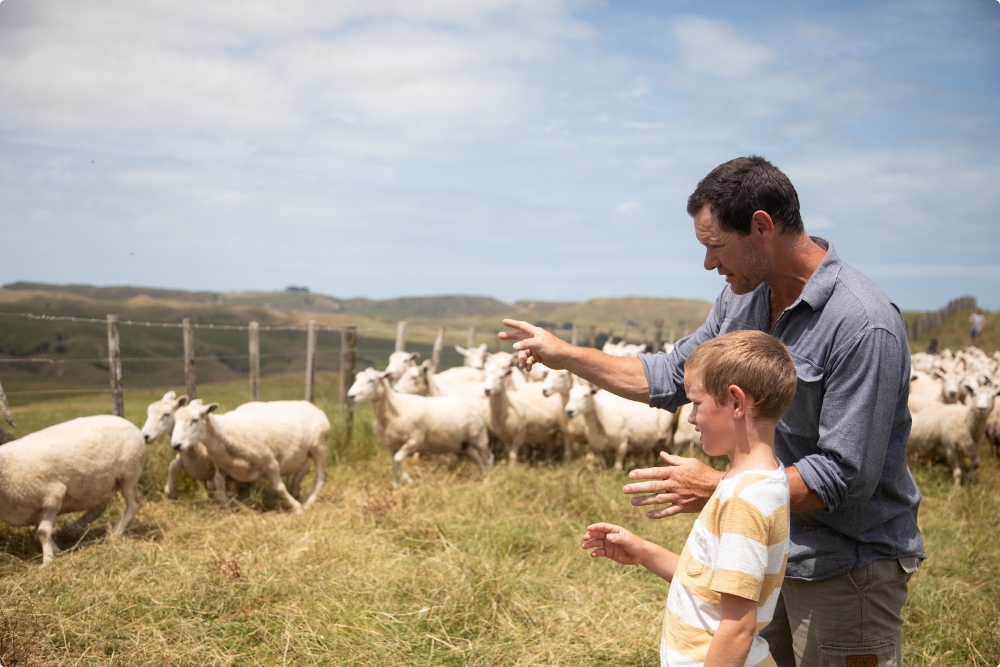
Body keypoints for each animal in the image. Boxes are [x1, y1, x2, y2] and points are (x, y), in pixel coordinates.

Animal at [0, 418, 146, 564]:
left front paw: (47, 561)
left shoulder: (52, 496)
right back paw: (74, 527)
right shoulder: (34, 509)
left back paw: (116, 531)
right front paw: (56, 550)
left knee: (134, 504)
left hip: (129, 473)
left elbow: (43, 532)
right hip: (96, 485)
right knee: (100, 507)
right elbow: (42, 529)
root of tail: (127, 423)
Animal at [170, 400, 330, 516]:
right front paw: (227, 508)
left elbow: (279, 488)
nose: (176, 445)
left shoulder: (270, 462)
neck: (226, 432)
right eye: (175, 420)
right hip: (303, 454)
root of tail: (311, 405)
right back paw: (297, 492)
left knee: (321, 477)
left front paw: (297, 508)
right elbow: (219, 485)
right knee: (302, 472)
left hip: (319, 447)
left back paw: (308, 502)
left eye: (195, 420)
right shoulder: (220, 467)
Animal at [346, 368, 494, 488]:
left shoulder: (414, 440)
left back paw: (487, 481)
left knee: (489, 458)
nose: (350, 396)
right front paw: (395, 486)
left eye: (372, 380)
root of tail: (475, 403)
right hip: (465, 443)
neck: (393, 408)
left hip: (479, 438)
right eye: (357, 378)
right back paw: (482, 475)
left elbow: (398, 460)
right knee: (478, 458)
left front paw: (408, 480)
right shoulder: (391, 445)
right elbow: (393, 464)